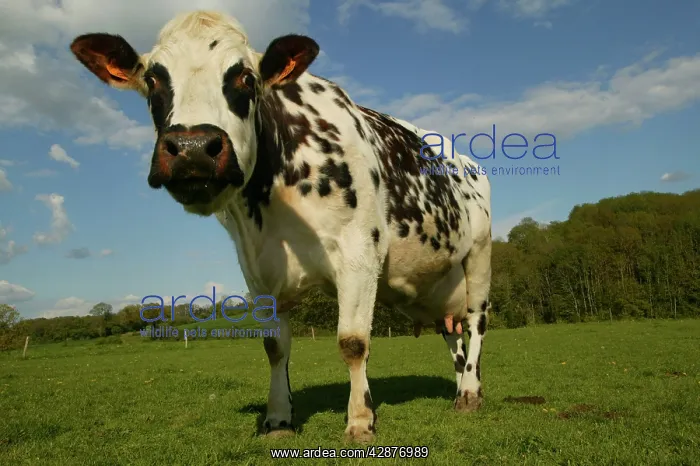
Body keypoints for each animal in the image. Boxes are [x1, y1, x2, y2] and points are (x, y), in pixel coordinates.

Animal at [69, 10, 492, 442]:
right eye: (153, 79)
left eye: (245, 78)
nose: (192, 149)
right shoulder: (256, 269)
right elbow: (274, 347)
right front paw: (277, 419)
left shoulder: (360, 253)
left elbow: (353, 342)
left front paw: (360, 421)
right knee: (452, 333)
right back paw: (460, 385)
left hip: (479, 252)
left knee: (476, 322)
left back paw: (470, 394)